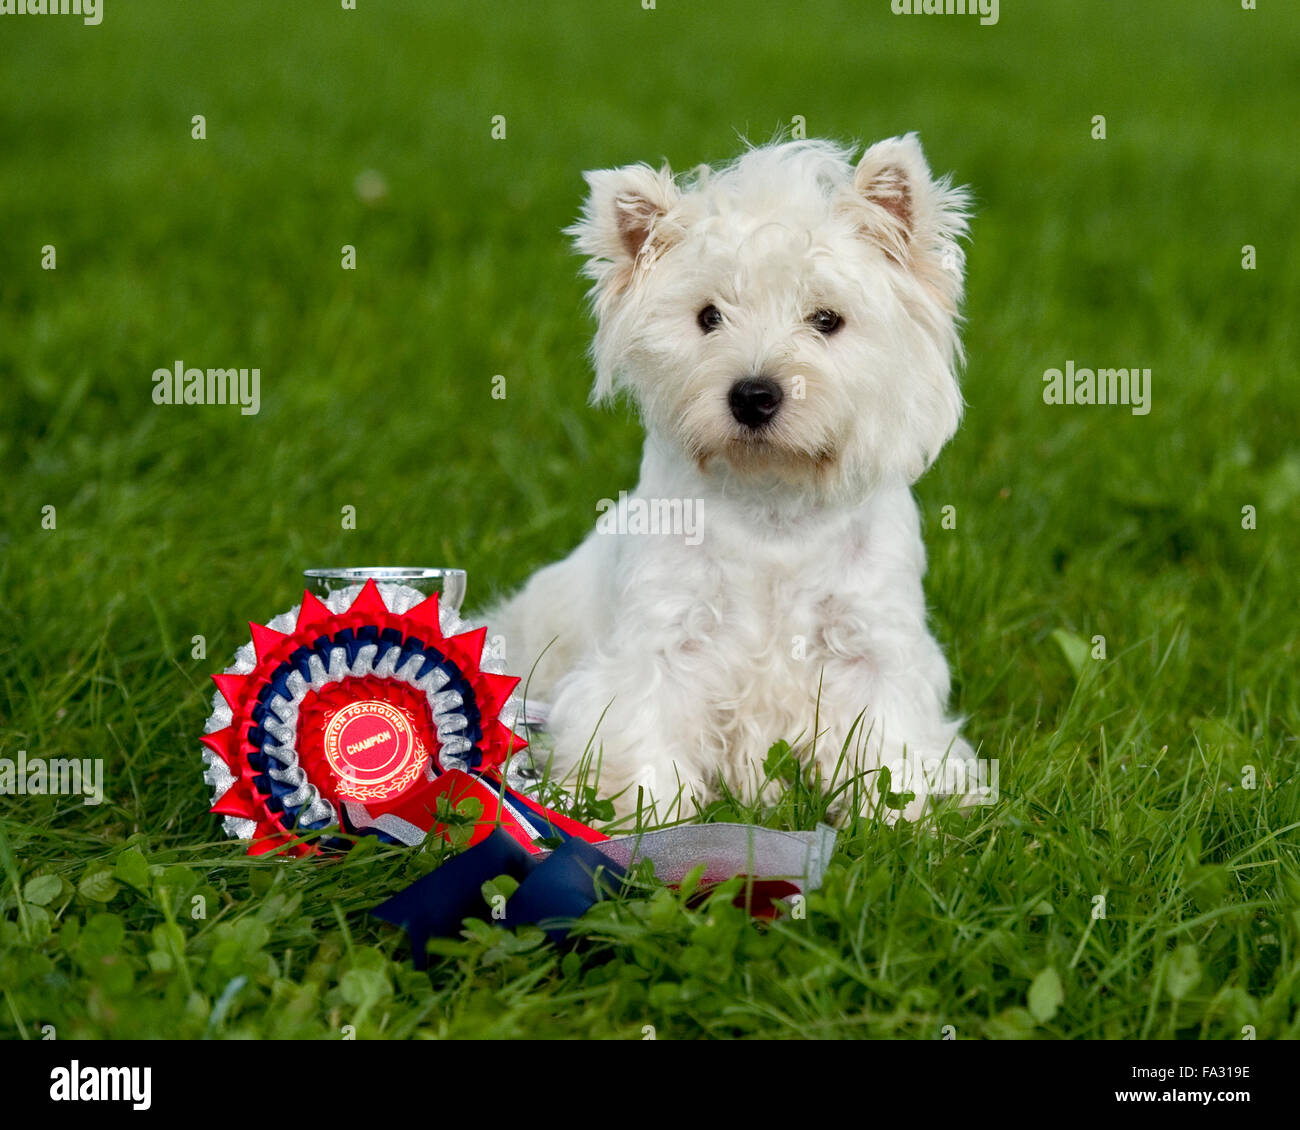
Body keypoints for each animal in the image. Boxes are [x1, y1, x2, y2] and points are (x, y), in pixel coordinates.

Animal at [488, 134, 977, 821]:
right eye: (708, 316)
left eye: (827, 319)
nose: (754, 396)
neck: (772, 505)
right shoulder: (660, 646)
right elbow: (644, 740)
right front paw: (652, 819)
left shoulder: (871, 645)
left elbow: (889, 746)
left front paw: (898, 822)